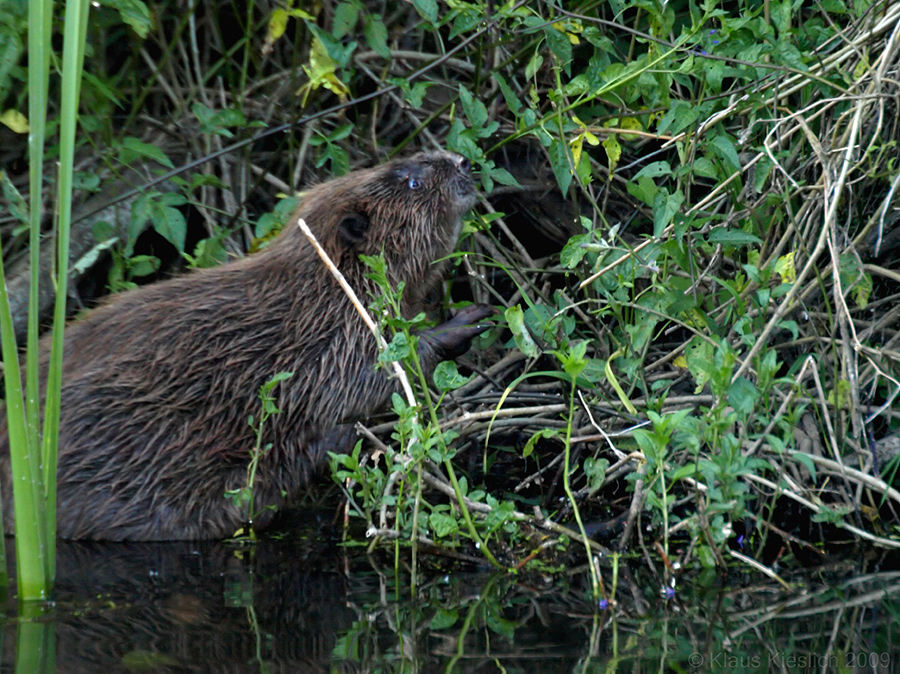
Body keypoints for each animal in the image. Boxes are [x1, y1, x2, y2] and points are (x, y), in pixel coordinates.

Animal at [0, 150, 492, 540]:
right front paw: (463, 323)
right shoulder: (330, 336)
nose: (463, 161)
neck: (324, 281)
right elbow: (367, 376)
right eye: (412, 182)